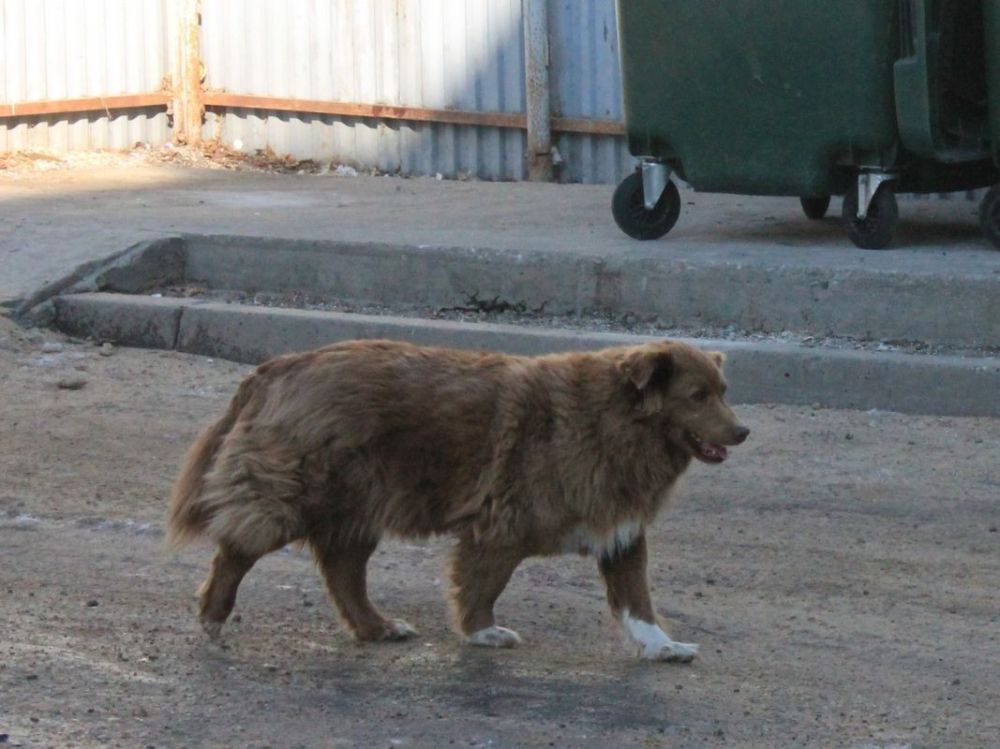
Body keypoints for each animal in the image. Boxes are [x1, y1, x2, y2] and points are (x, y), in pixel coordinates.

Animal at [170, 338, 752, 660]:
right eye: (697, 396)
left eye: (725, 391)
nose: (743, 431)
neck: (615, 419)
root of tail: (279, 365)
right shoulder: (501, 525)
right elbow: (483, 584)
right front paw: (482, 633)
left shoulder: (620, 532)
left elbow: (638, 601)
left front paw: (662, 646)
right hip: (301, 491)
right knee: (239, 549)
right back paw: (214, 614)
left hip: (358, 505)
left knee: (343, 571)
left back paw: (376, 627)